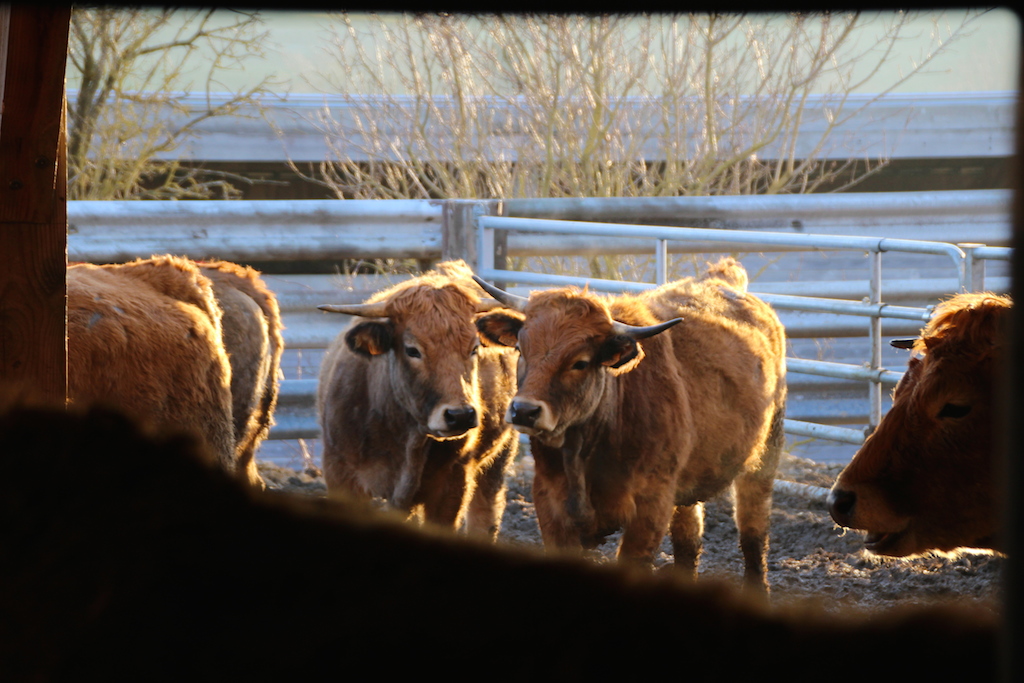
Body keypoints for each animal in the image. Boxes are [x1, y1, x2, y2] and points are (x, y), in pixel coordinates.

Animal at [317, 260, 519, 539]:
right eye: (412, 350)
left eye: (474, 348)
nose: (460, 415)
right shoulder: (341, 477)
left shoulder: (451, 485)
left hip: (497, 460)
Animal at [474, 257, 787, 594]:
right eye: (521, 350)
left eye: (580, 362)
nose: (524, 411)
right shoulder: (549, 504)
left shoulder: (650, 507)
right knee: (688, 540)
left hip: (766, 454)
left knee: (753, 532)